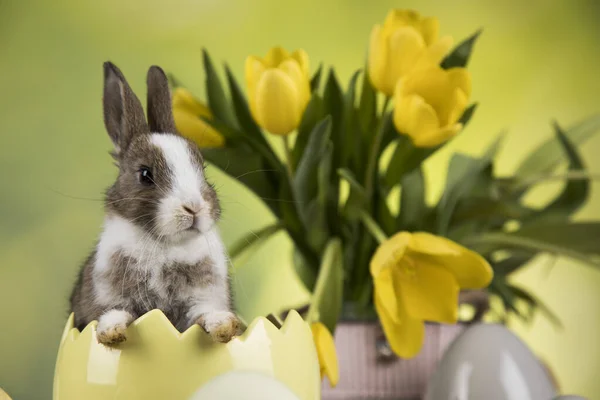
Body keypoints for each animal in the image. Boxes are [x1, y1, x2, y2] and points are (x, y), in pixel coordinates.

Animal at [72, 61, 244, 346]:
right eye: (145, 174)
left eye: (202, 168)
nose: (194, 207)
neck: (165, 246)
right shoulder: (107, 295)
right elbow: (113, 312)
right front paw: (111, 333)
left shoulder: (203, 298)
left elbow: (206, 313)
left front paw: (224, 326)